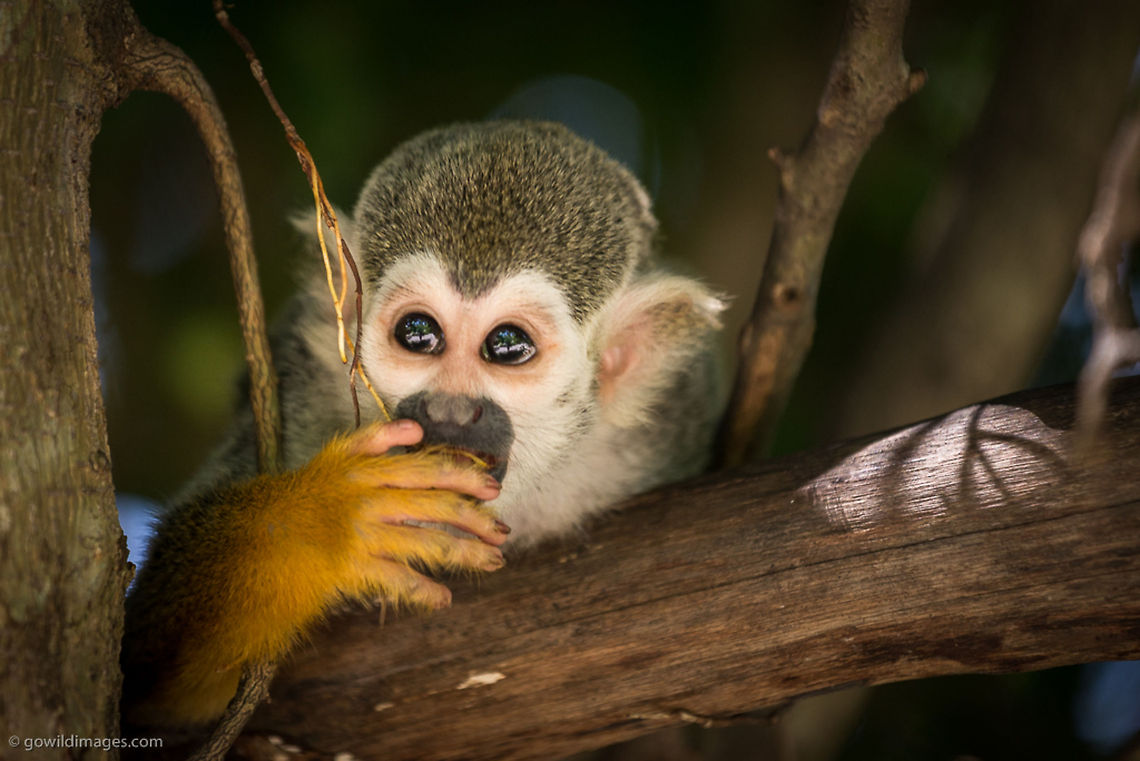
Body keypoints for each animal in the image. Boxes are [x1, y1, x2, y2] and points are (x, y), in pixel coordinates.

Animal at [120, 120, 725, 728]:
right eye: (418, 333)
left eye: (508, 346)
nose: (450, 410)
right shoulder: (300, 393)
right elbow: (152, 676)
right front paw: (330, 520)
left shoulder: (674, 425)